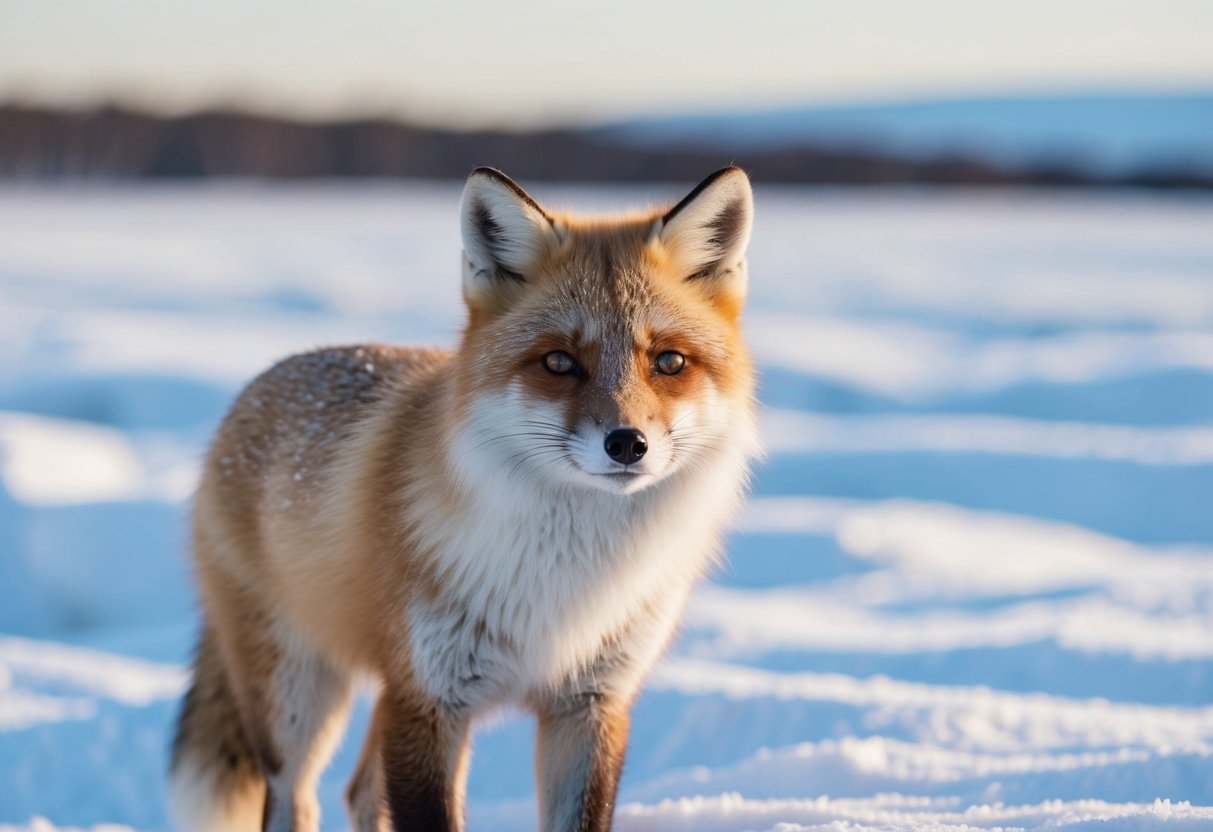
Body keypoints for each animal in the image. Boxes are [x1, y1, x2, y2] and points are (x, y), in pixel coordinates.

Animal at [168, 166, 760, 832]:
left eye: (669, 361)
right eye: (560, 362)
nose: (627, 444)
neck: (567, 582)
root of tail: (257, 386)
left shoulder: (589, 704)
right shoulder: (430, 701)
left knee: (361, 790)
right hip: (299, 699)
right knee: (296, 796)